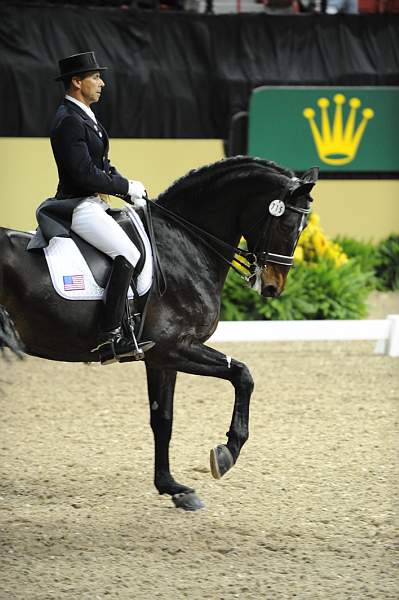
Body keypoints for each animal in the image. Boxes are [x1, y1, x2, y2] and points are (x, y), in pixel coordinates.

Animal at [0, 157, 318, 508]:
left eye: (303, 228)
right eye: (287, 225)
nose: (273, 287)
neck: (186, 243)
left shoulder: (160, 359)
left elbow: (163, 420)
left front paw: (172, 486)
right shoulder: (174, 347)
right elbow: (243, 375)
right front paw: (226, 453)